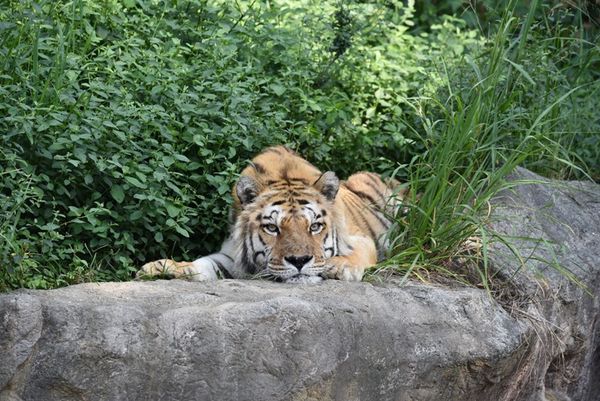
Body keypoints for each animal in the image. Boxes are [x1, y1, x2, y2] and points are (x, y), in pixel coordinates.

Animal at [138, 145, 406, 282]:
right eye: (272, 228)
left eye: (314, 226)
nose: (299, 261)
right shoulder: (232, 255)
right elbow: (203, 263)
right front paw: (165, 268)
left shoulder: (359, 238)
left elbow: (358, 253)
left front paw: (341, 267)